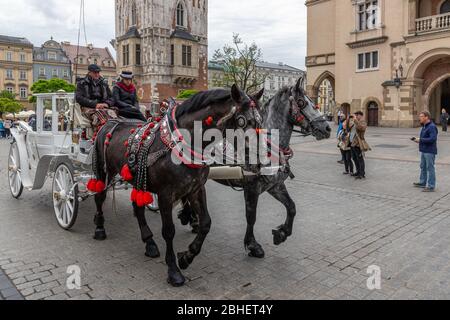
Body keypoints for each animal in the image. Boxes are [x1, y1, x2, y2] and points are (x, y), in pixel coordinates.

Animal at [93, 85, 266, 288]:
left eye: (261, 120)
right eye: (243, 121)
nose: (260, 161)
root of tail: (110, 121)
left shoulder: (196, 189)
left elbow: (206, 223)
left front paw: (186, 257)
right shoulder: (165, 195)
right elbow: (169, 231)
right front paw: (174, 270)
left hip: (138, 180)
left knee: (138, 207)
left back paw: (149, 243)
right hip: (104, 170)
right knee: (100, 196)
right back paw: (99, 228)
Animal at [178, 79, 330, 258]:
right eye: (301, 102)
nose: (327, 128)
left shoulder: (275, 186)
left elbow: (291, 207)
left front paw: (282, 233)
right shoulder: (251, 188)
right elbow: (251, 217)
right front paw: (252, 245)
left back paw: (192, 219)